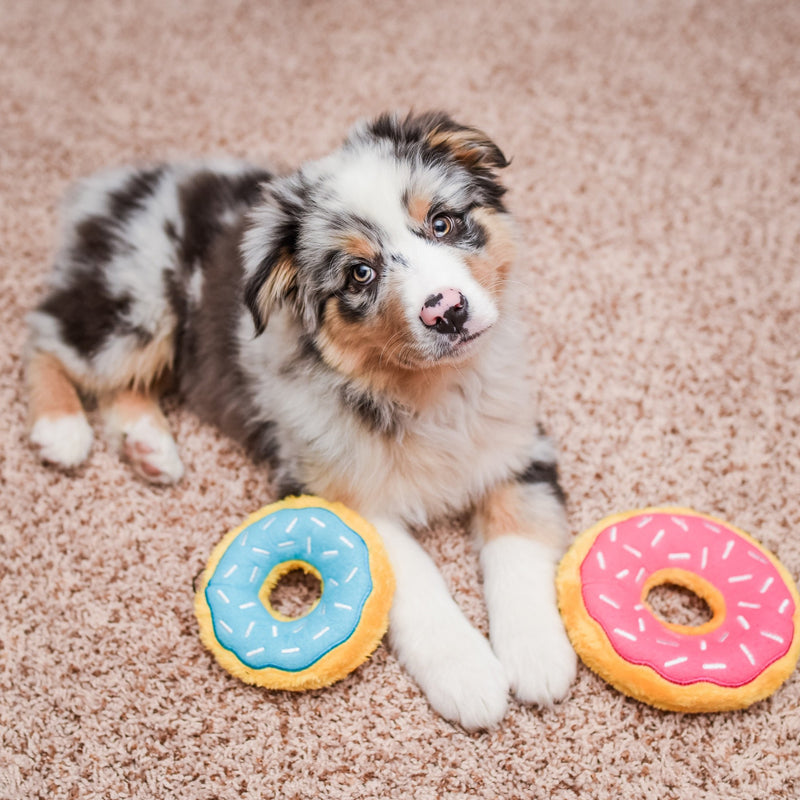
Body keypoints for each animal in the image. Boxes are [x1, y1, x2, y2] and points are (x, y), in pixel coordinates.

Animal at [25, 112, 576, 732]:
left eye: (442, 222)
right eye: (360, 274)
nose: (448, 310)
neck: (429, 391)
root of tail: (121, 186)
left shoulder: (518, 447)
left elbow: (518, 546)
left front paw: (536, 655)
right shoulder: (334, 489)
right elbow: (416, 580)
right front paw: (469, 675)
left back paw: (148, 446)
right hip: (137, 308)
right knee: (47, 337)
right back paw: (62, 429)